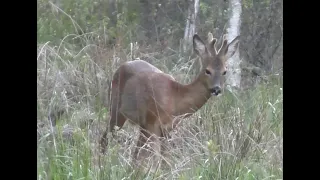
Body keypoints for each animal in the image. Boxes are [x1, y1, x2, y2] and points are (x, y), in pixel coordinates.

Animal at [100, 32, 240, 169]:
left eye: (224, 71)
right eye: (207, 70)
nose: (216, 89)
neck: (175, 99)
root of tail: (122, 65)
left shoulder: (167, 129)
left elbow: (165, 161)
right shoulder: (153, 123)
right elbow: (154, 157)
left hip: (140, 124)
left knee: (135, 151)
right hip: (116, 109)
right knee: (106, 137)